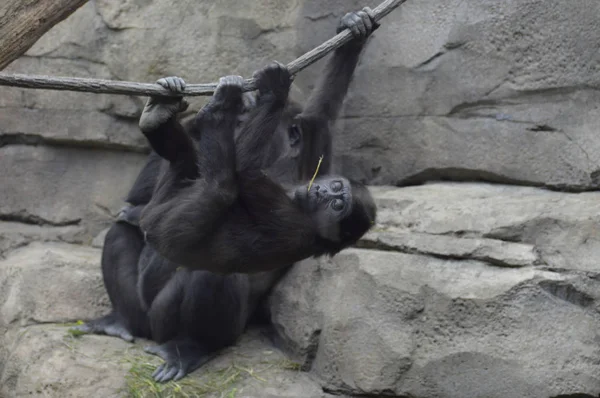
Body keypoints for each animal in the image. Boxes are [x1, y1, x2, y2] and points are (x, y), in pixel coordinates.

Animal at [74, 7, 376, 382]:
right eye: (334, 189)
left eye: (337, 202)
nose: (322, 191)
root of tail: (150, 333)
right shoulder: (309, 163)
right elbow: (319, 114)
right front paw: (354, 30)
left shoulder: (294, 208)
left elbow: (243, 174)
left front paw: (270, 92)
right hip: (145, 309)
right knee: (130, 227)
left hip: (173, 321)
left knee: (211, 263)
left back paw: (190, 349)